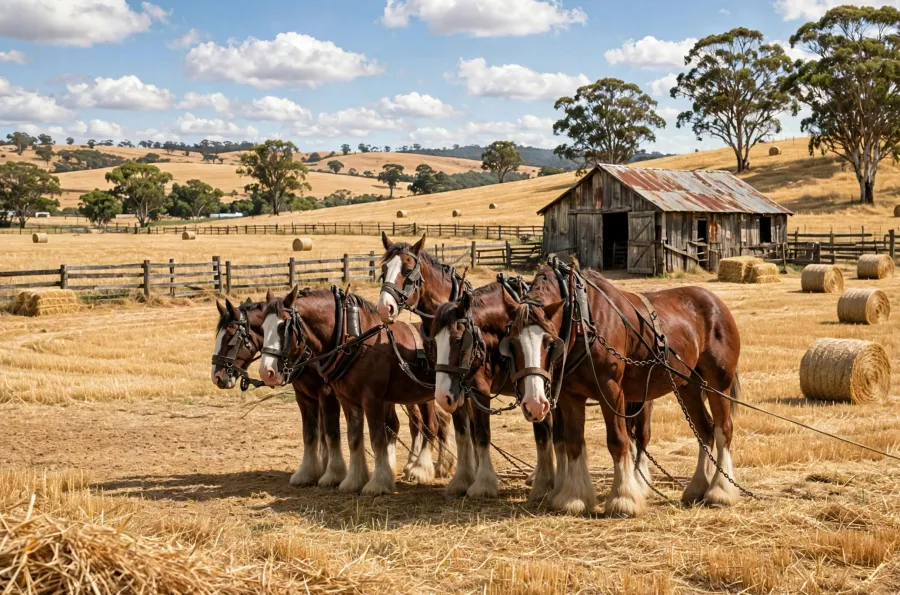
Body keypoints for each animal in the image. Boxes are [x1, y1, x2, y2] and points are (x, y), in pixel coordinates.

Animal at [210, 292, 346, 487]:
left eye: (231, 336)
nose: (216, 377)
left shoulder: (326, 393)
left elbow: (329, 432)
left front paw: (332, 473)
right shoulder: (305, 395)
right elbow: (312, 434)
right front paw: (313, 471)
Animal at [258, 286, 452, 496]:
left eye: (282, 327)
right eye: (262, 327)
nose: (266, 372)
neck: (353, 340)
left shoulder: (367, 398)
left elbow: (372, 438)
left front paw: (376, 482)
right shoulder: (340, 398)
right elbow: (347, 437)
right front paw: (351, 479)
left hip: (426, 398)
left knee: (431, 425)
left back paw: (421, 469)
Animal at [502, 264, 742, 517]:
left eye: (549, 342)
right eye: (512, 343)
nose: (534, 403)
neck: (581, 321)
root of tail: (716, 302)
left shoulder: (611, 389)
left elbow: (618, 440)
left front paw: (623, 498)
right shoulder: (570, 395)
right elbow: (573, 442)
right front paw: (574, 498)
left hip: (718, 384)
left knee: (723, 429)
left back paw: (720, 492)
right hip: (689, 386)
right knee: (705, 430)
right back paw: (698, 488)